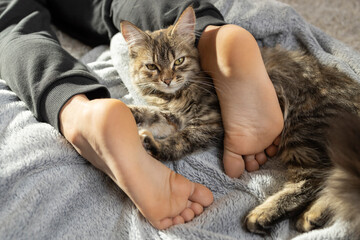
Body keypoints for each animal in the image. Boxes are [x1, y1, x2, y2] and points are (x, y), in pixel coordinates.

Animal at [120, 6, 360, 237]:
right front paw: (127, 112)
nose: (168, 80)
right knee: (335, 183)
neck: (172, 96)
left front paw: (154, 146)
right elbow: (150, 115)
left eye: (179, 61)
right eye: (152, 67)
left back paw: (263, 214)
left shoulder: (209, 123)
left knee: (314, 180)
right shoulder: (171, 116)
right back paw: (312, 215)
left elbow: (179, 140)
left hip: (303, 129)